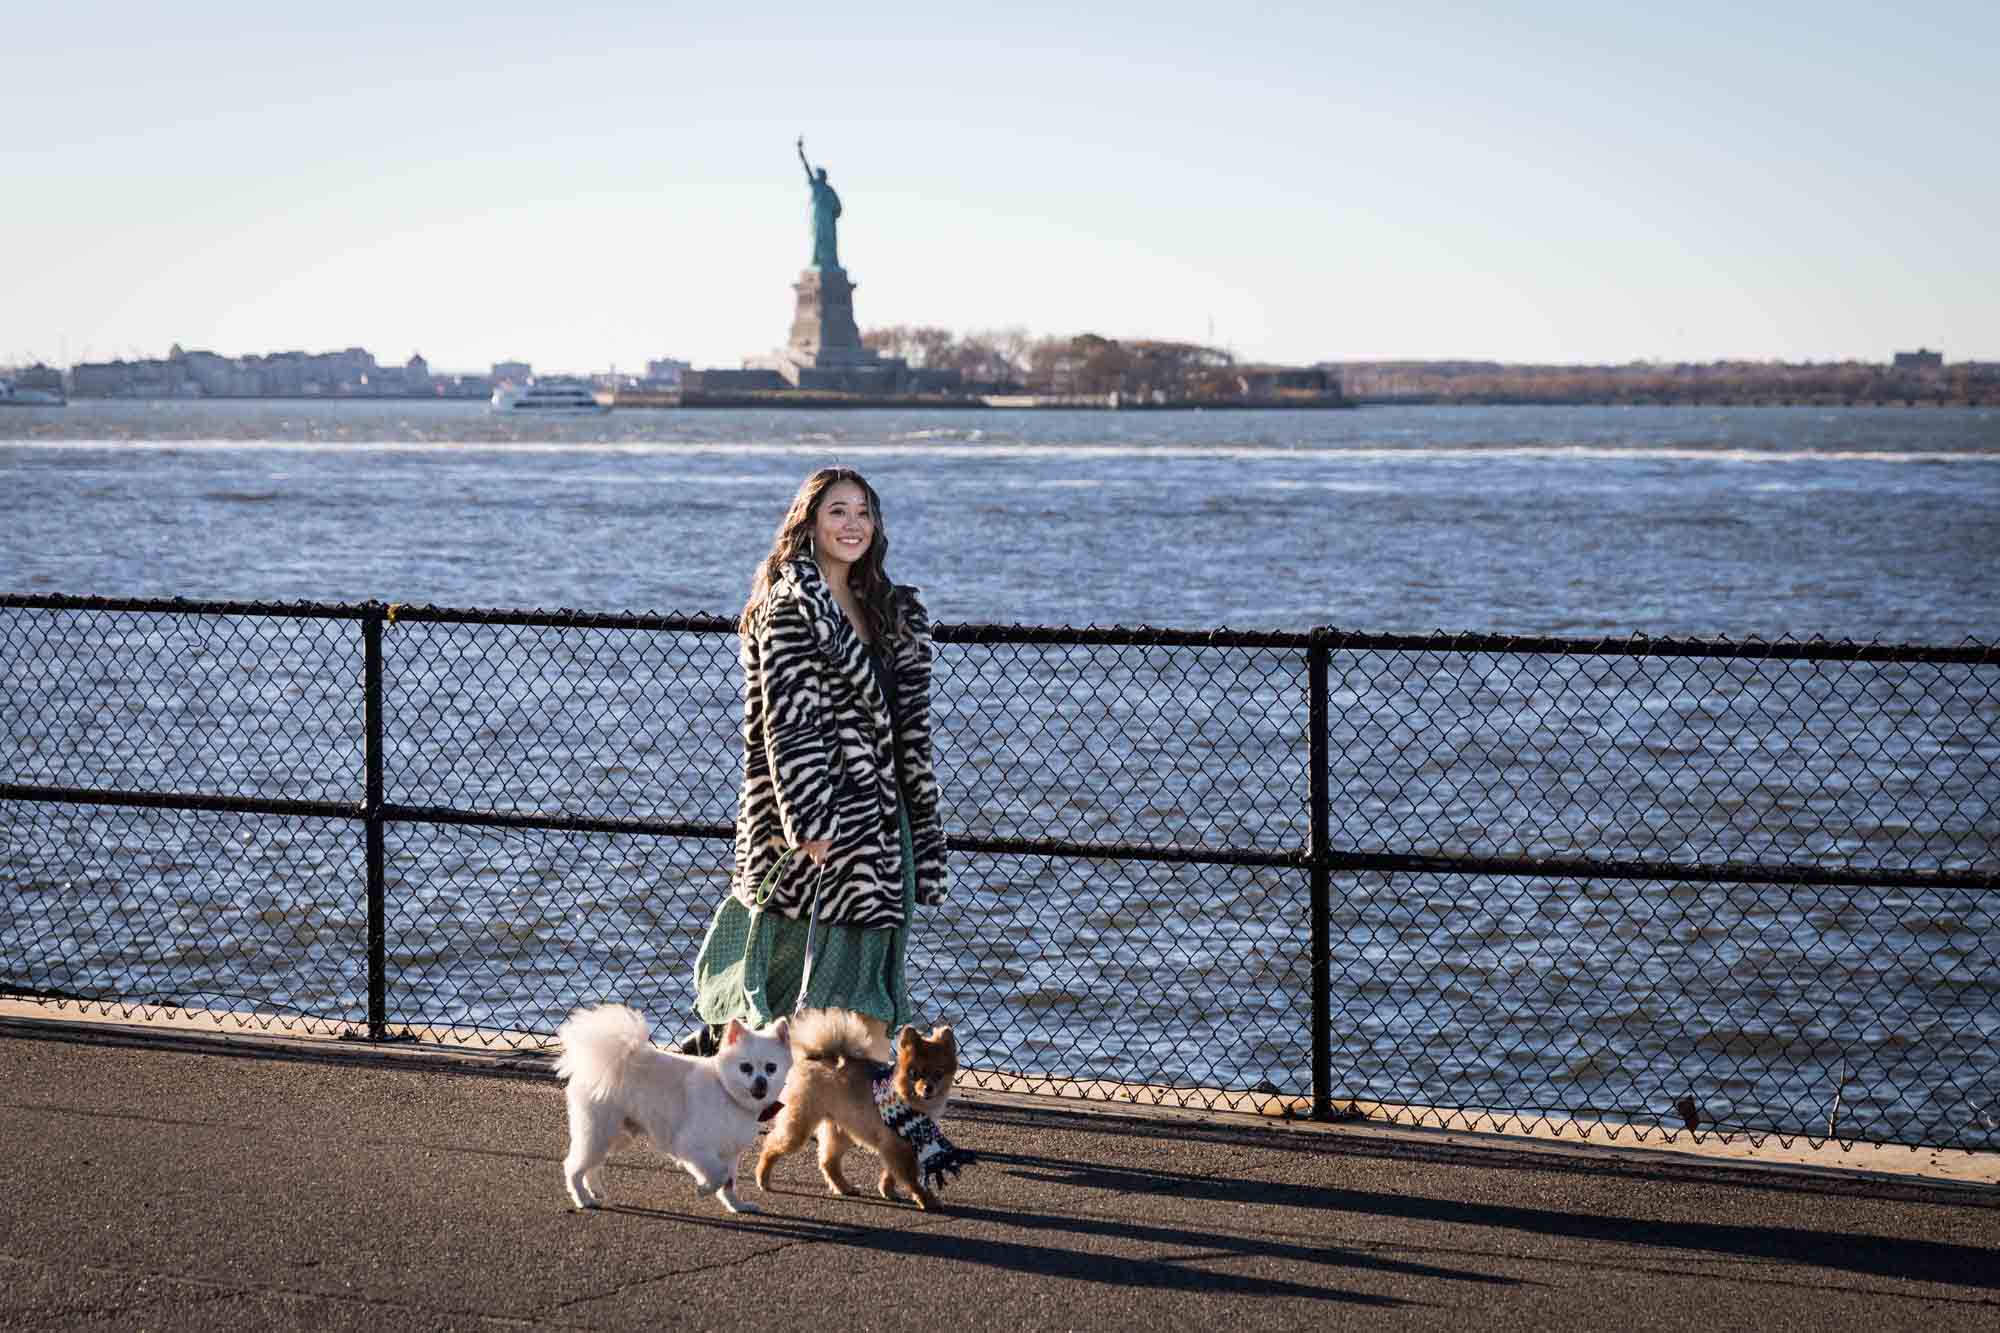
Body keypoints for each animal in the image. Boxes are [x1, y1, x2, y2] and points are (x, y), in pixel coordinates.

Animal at [560, 1000, 792, 1208]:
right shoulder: (692, 1147)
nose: (761, 1082)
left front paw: (736, 1205)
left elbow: (728, 1183)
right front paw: (704, 1188)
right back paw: (583, 1199)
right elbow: (719, 1174)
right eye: (746, 1068)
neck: (727, 1092)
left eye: (771, 1068)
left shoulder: (729, 1153)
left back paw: (595, 1190)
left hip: (616, 1135)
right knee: (573, 1167)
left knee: (592, 1165)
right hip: (598, 1133)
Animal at [756, 1008, 960, 1200]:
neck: (908, 1099)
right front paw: (927, 1200)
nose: (928, 1088)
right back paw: (763, 1178)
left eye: (939, 1073)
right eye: (915, 1074)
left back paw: (844, 1187)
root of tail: (813, 1057)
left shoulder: (900, 1144)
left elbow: (891, 1172)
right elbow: (910, 1177)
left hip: (842, 1129)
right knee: (771, 1144)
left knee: (828, 1161)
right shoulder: (895, 1145)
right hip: (800, 1126)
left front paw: (887, 1190)